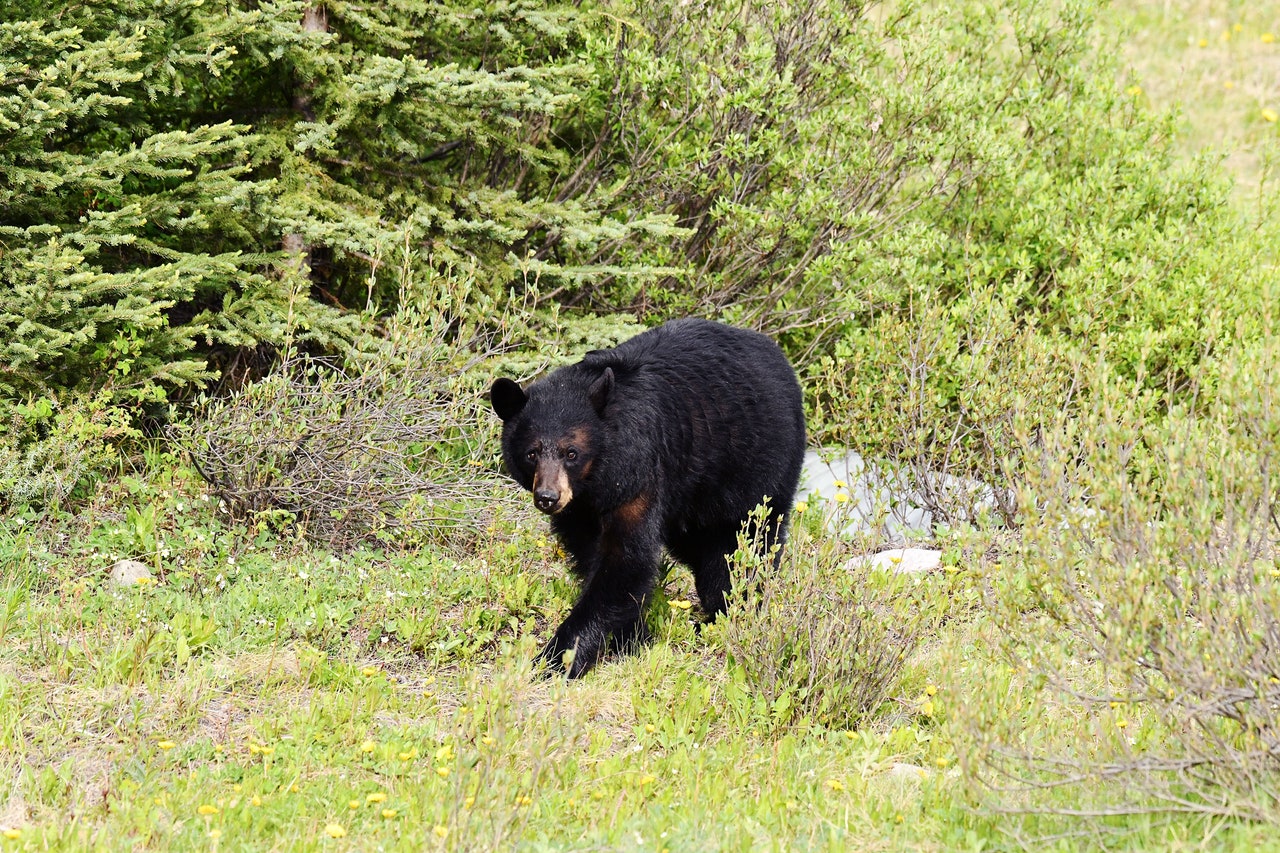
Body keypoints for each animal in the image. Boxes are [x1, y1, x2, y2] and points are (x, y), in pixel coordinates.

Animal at [488, 315, 798, 676]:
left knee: (747, 545)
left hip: (757, 467)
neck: (596, 481)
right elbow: (594, 558)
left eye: (571, 452)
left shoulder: (639, 472)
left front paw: (556, 657)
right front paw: (633, 638)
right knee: (705, 548)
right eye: (532, 453)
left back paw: (730, 611)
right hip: (695, 500)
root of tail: (775, 352)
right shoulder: (580, 511)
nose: (548, 497)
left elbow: (626, 561)